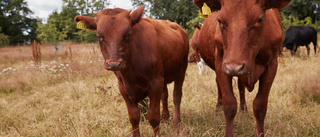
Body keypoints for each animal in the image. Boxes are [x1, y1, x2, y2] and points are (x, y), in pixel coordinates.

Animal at [194, 0, 292, 137]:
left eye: (260, 19)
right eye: (219, 20)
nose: (234, 67)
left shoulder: (272, 64)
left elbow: (260, 105)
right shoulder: (221, 63)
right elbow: (229, 105)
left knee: (241, 88)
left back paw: (244, 112)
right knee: (219, 86)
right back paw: (217, 111)